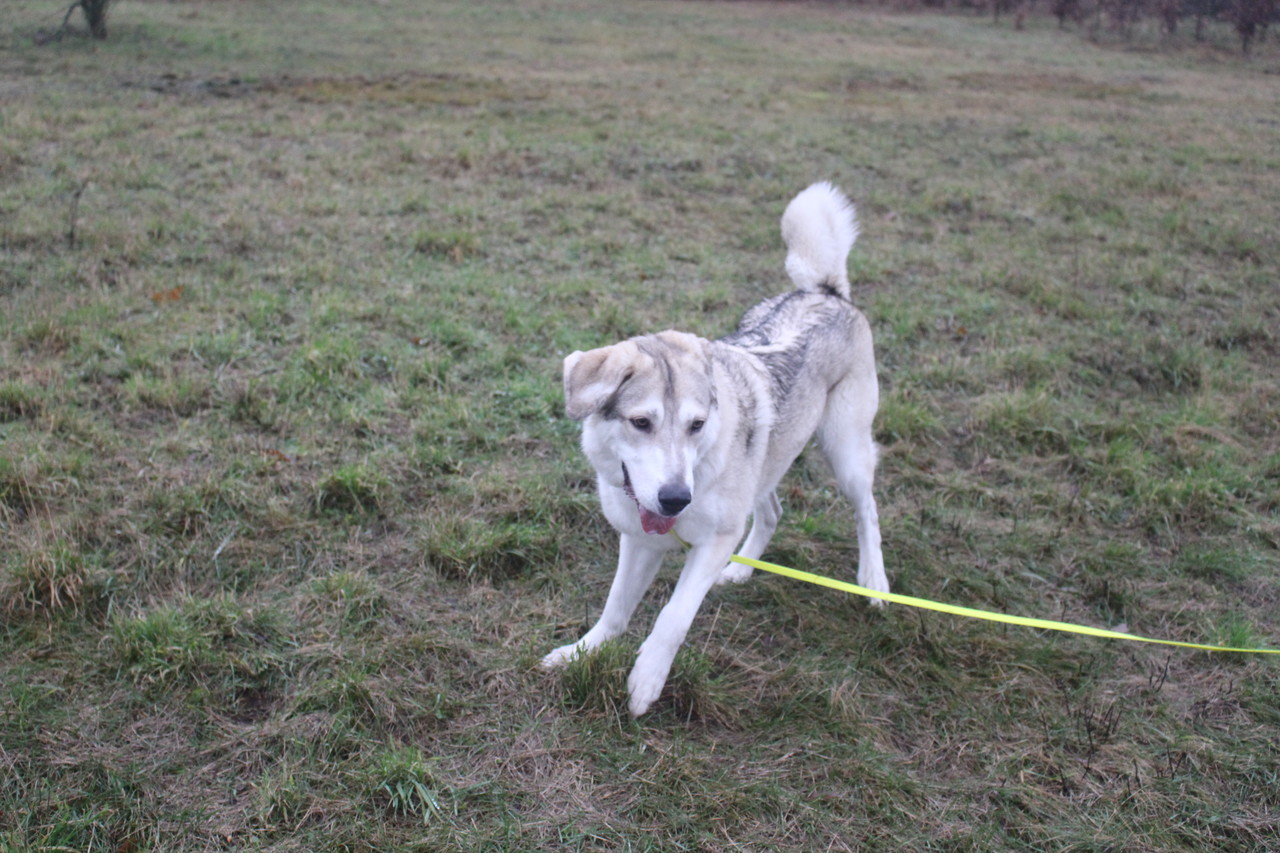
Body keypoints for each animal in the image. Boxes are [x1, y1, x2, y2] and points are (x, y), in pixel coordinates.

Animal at [542, 182, 888, 717]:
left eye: (696, 425)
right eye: (641, 423)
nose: (674, 500)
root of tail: (824, 292)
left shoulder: (711, 542)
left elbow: (673, 616)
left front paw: (646, 681)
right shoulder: (639, 540)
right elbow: (616, 609)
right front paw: (581, 652)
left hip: (845, 451)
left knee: (867, 510)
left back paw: (873, 582)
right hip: (768, 466)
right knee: (772, 511)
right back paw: (741, 571)